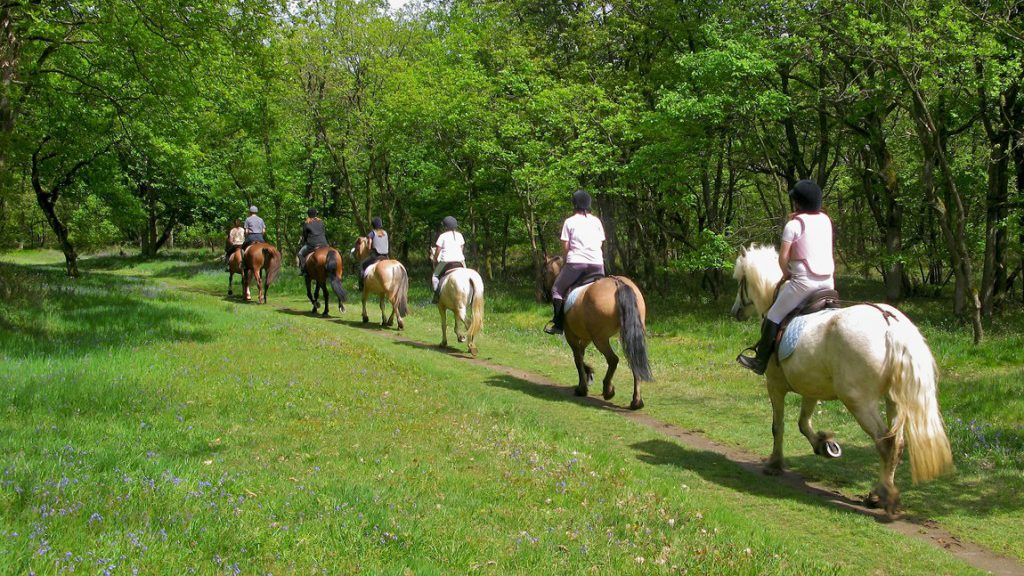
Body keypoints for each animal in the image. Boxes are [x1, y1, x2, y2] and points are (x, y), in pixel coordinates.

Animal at [540, 255, 651, 407]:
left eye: (544, 272)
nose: (543, 296)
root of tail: (618, 283)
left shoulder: (571, 335)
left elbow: (577, 358)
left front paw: (582, 388)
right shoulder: (587, 337)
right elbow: (581, 353)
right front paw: (589, 374)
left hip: (600, 339)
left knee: (613, 360)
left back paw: (608, 390)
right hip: (628, 335)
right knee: (634, 360)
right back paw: (636, 401)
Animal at [733, 243, 954, 512]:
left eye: (740, 281)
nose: (735, 311)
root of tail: (890, 324)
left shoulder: (774, 385)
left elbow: (779, 426)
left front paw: (774, 464)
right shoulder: (811, 387)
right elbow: (803, 423)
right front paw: (824, 445)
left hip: (858, 401)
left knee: (884, 442)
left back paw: (882, 495)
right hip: (894, 400)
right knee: (897, 443)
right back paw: (879, 492)